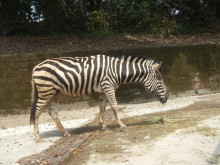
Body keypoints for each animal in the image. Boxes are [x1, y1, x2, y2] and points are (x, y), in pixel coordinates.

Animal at [30, 54, 168, 141]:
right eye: (159, 78)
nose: (167, 97)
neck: (117, 70)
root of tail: (35, 67)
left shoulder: (103, 90)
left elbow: (102, 108)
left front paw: (102, 125)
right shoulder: (108, 87)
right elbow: (114, 107)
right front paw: (120, 124)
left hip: (55, 92)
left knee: (52, 111)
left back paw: (65, 132)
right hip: (45, 91)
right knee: (37, 112)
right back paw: (37, 136)